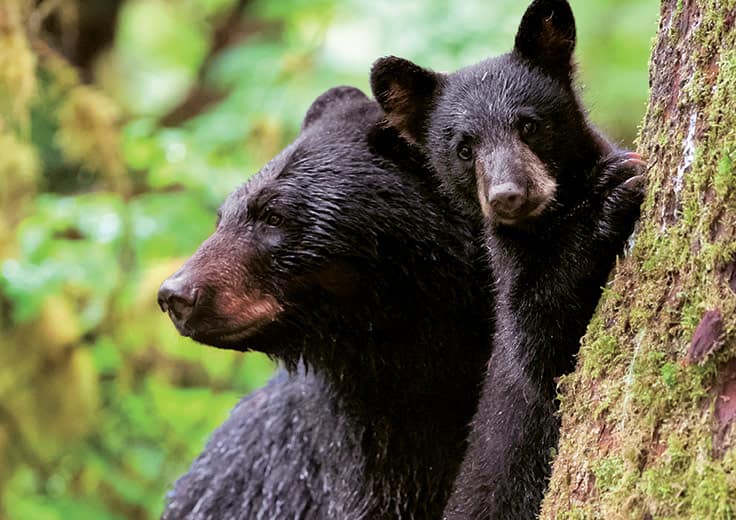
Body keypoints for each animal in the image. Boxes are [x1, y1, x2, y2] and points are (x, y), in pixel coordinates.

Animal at [370, 2, 648, 516]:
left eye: (530, 125)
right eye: (464, 148)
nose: (508, 196)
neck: (549, 220)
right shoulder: (512, 275)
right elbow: (541, 350)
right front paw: (610, 195)